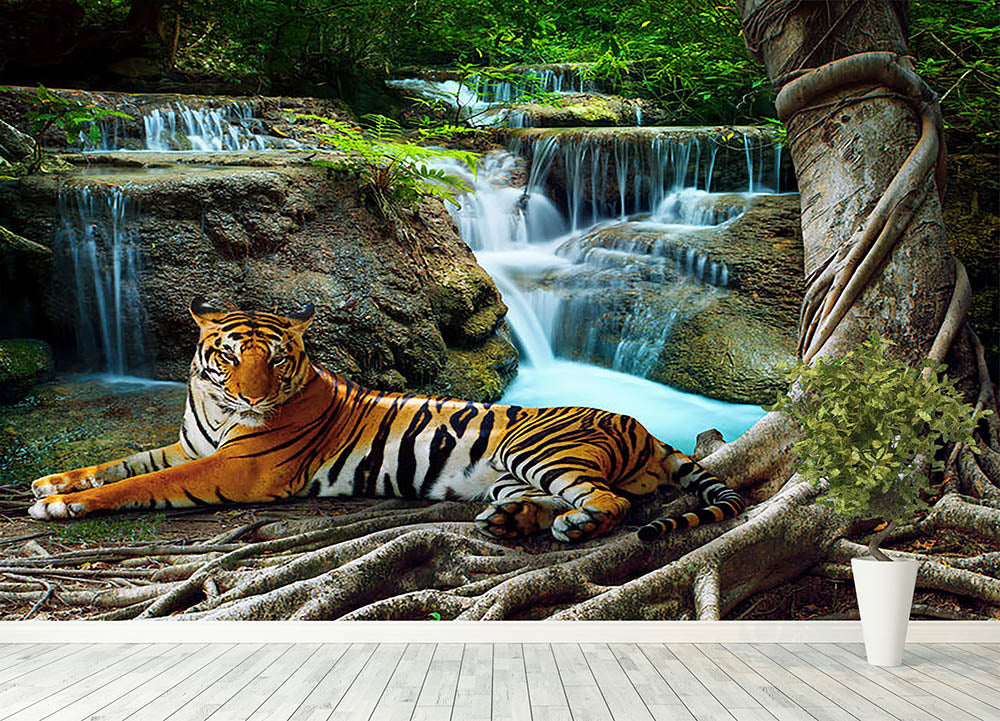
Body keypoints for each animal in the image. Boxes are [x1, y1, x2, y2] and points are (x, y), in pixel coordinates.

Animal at [29, 298, 745, 543]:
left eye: (275, 359)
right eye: (228, 355)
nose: (253, 398)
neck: (213, 406)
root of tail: (643, 426)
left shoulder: (237, 469)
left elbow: (138, 484)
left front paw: (63, 506)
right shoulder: (189, 448)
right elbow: (122, 463)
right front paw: (52, 484)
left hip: (538, 447)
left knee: (611, 501)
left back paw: (571, 525)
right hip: (508, 472)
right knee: (563, 499)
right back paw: (510, 521)